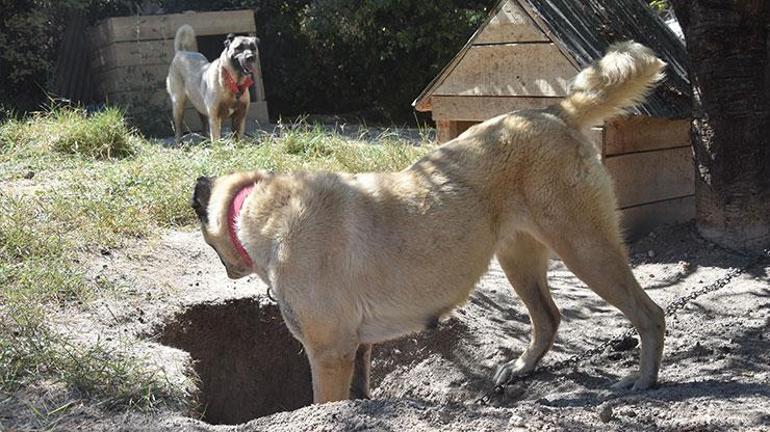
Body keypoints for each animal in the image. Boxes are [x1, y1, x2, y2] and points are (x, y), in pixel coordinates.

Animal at [190, 42, 664, 404]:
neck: (262, 205)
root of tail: (554, 112)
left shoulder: (329, 353)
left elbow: (325, 404)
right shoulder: (356, 349)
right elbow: (357, 393)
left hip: (585, 248)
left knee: (649, 314)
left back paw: (643, 380)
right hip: (520, 259)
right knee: (548, 318)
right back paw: (521, 368)